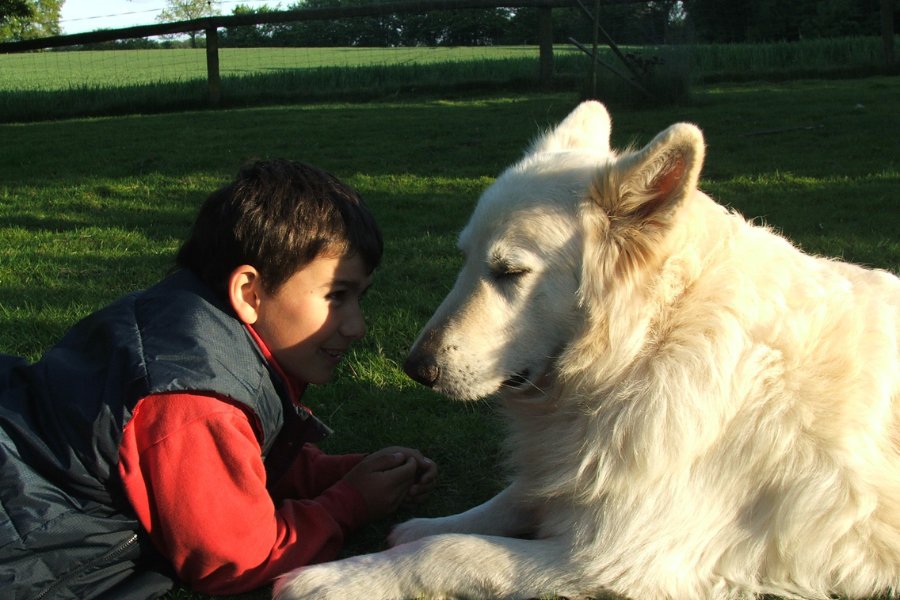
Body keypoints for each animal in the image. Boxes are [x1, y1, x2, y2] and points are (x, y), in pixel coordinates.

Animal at [276, 101, 900, 596]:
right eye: (465, 258)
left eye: (509, 271)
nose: (414, 369)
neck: (645, 346)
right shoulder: (577, 476)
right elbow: (511, 499)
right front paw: (423, 522)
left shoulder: (617, 559)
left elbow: (456, 549)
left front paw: (340, 577)